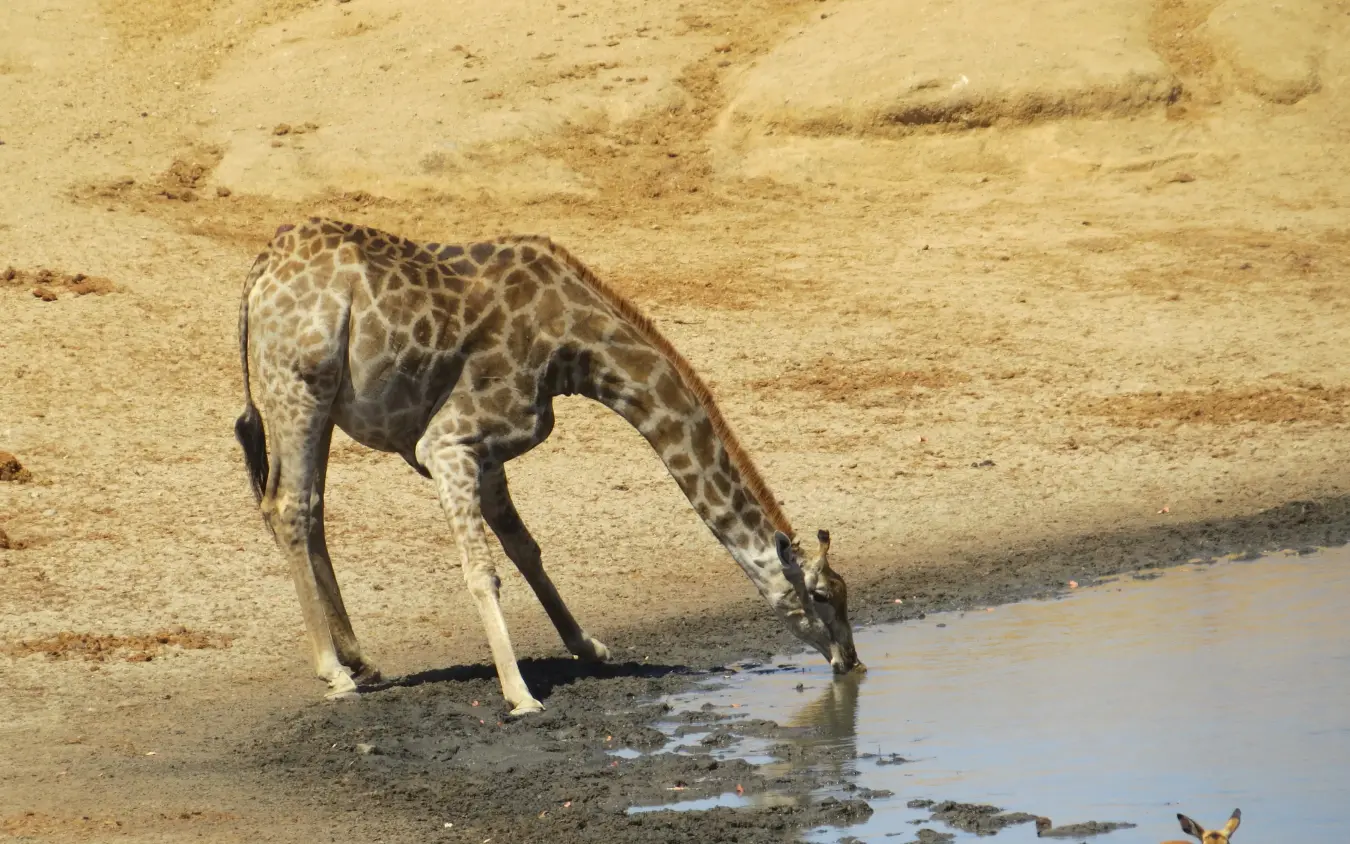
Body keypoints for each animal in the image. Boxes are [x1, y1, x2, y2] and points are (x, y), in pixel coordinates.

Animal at [234, 217, 862, 714]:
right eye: (823, 595)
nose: (851, 661)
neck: (577, 350)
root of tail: (259, 270)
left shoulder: (489, 452)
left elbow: (526, 549)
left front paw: (590, 647)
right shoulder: (449, 442)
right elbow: (483, 570)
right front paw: (520, 694)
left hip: (318, 400)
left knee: (306, 507)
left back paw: (361, 660)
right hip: (300, 387)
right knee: (289, 506)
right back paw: (334, 672)